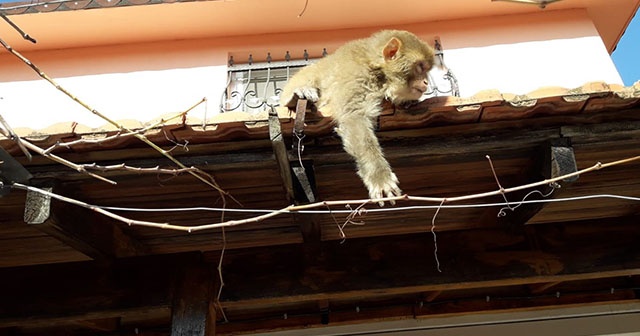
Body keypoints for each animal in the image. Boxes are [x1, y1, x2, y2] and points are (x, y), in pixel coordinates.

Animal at [280, 30, 436, 205]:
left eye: (426, 69)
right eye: (420, 67)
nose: (426, 82)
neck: (376, 69)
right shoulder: (358, 76)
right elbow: (354, 117)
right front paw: (379, 176)